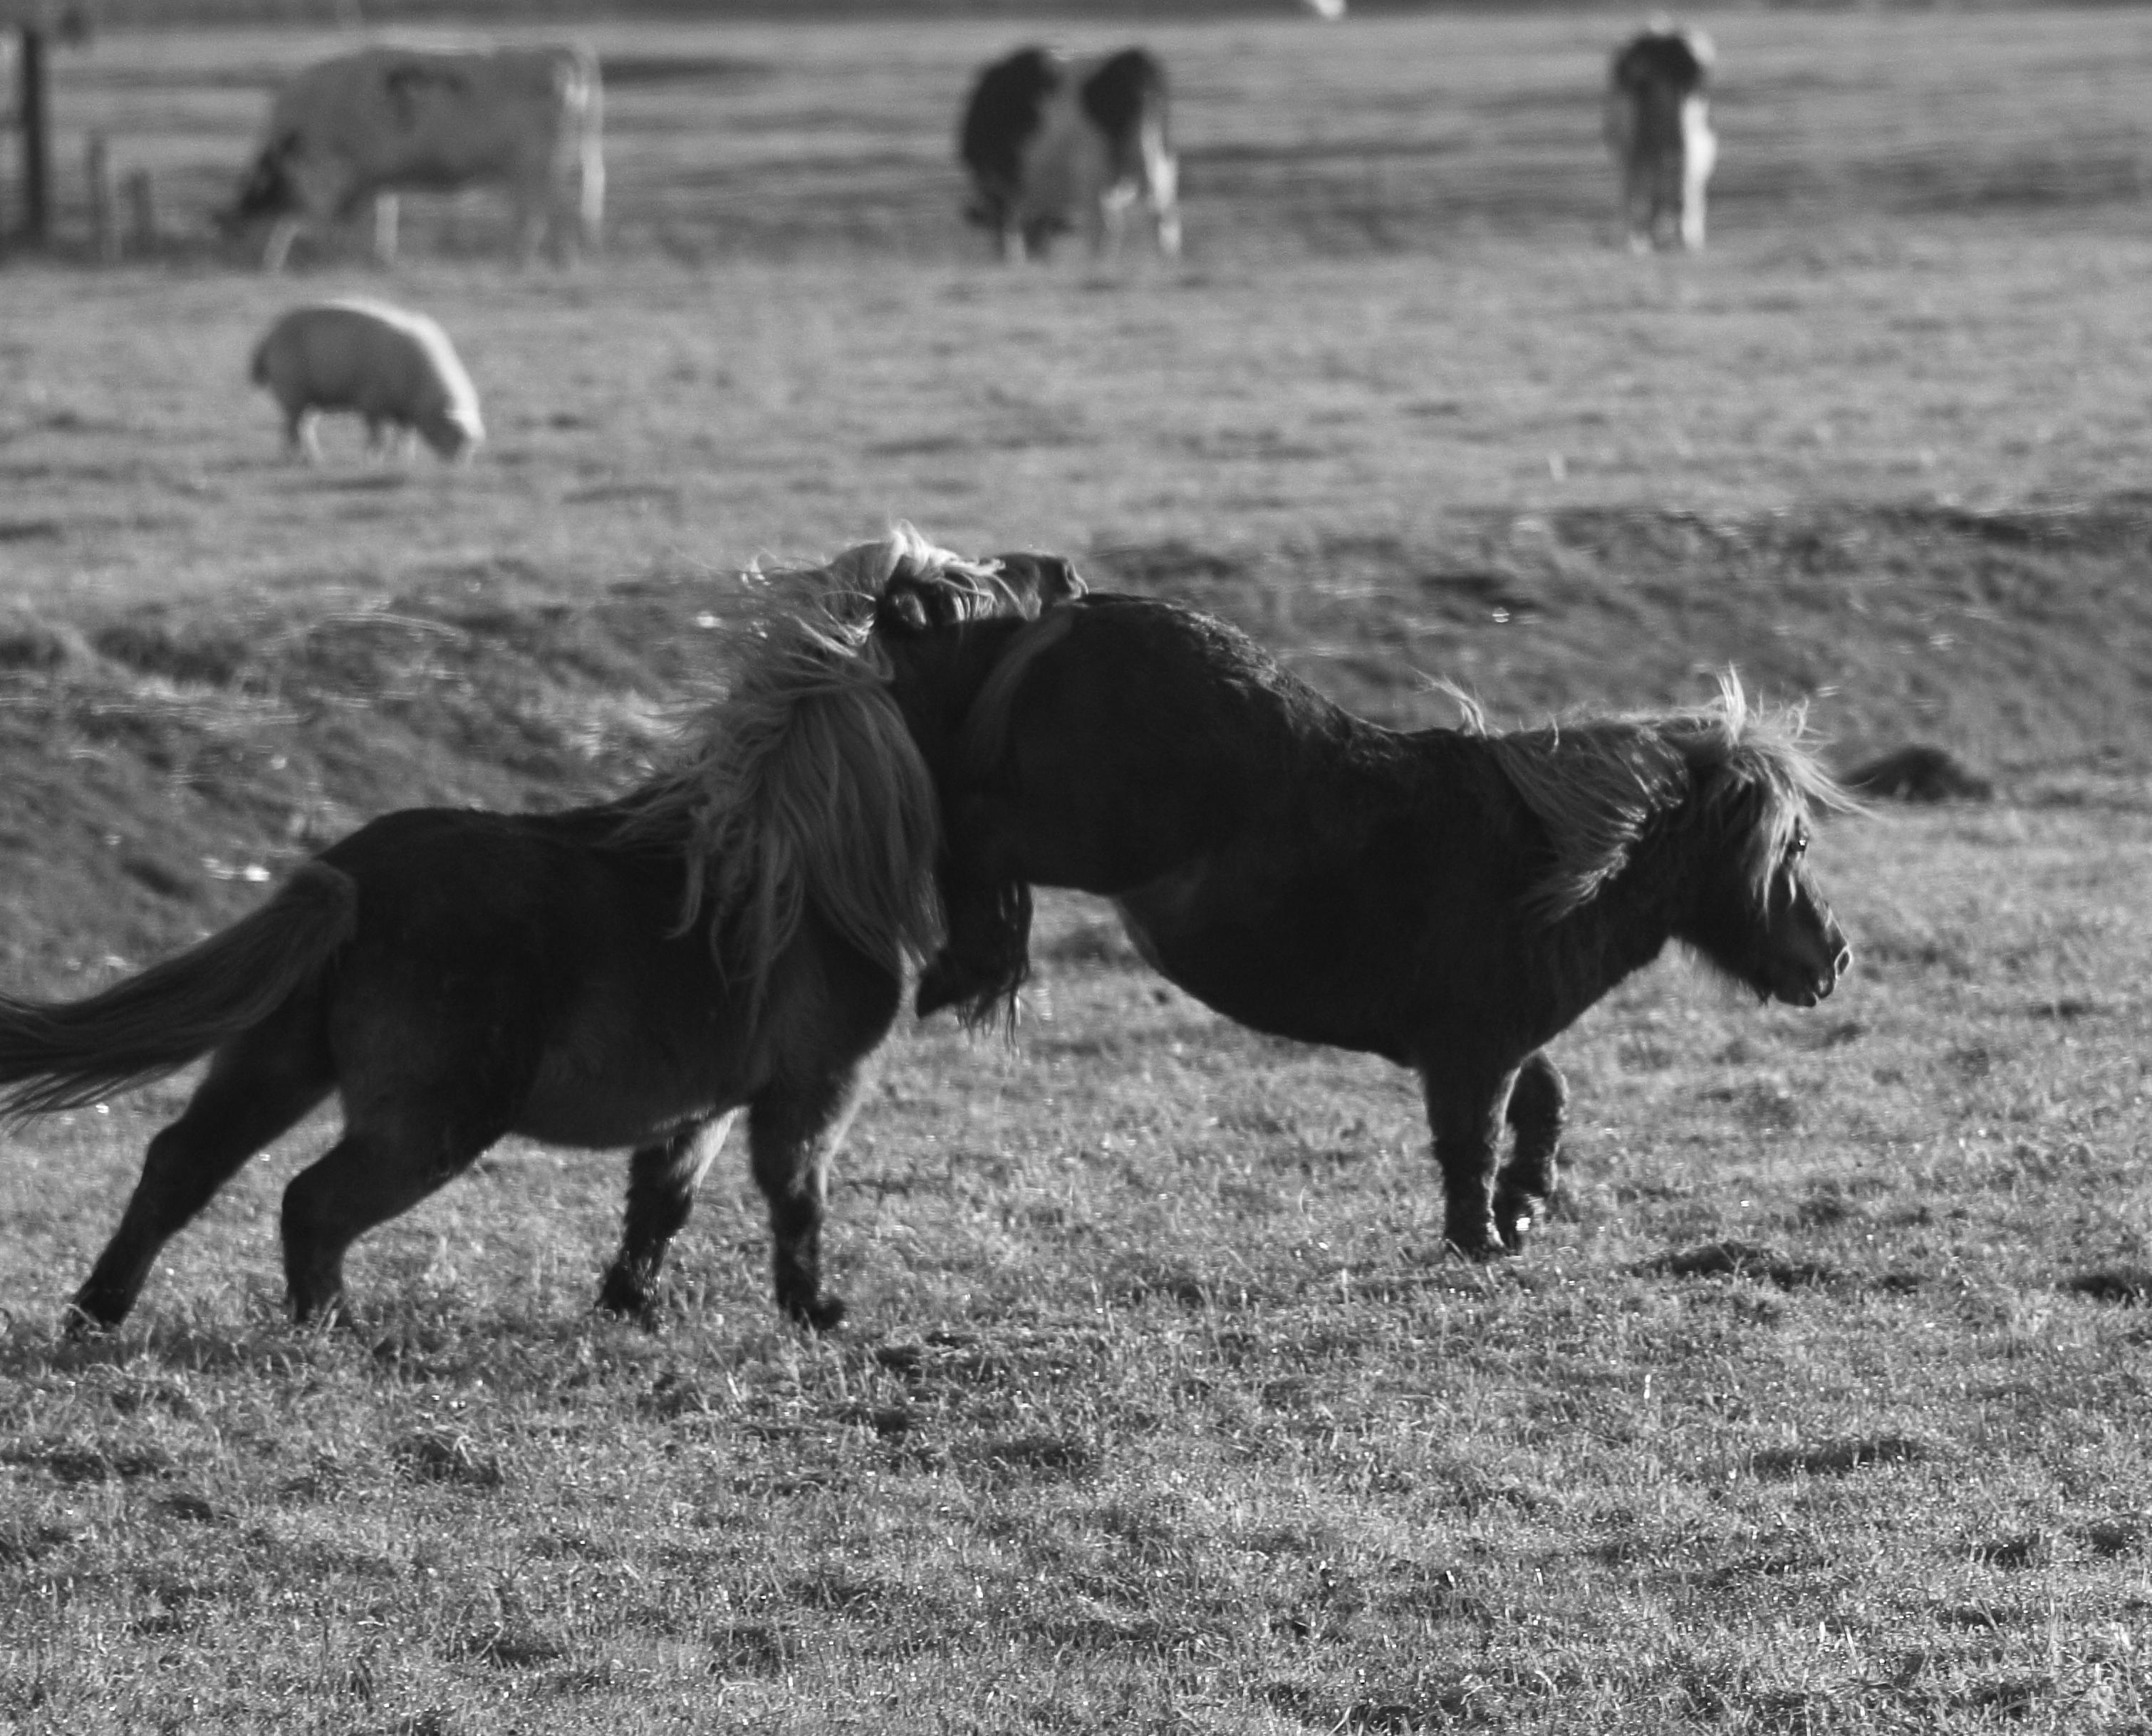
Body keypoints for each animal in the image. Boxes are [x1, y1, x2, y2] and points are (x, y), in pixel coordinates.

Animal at [0, 529, 1051, 1336]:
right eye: (978, 591)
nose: (1062, 569)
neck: (800, 861)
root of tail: (352, 879)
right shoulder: (812, 1085)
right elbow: (795, 1198)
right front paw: (815, 1311)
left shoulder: (702, 1102)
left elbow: (660, 1202)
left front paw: (628, 1306)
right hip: (434, 1117)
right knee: (310, 1203)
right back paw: (331, 1328)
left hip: (276, 1063)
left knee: (179, 1165)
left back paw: (97, 1314)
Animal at [872, 588, 1855, 1259]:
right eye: (1796, 845)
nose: (1836, 960)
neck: (1546, 864)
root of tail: (1071, 614)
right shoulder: (1470, 1050)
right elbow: (1473, 1138)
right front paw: (1480, 1240)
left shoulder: (1484, 1039)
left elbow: (1546, 1098)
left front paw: (1525, 1207)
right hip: (1080, 837)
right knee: (969, 831)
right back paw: (966, 963)